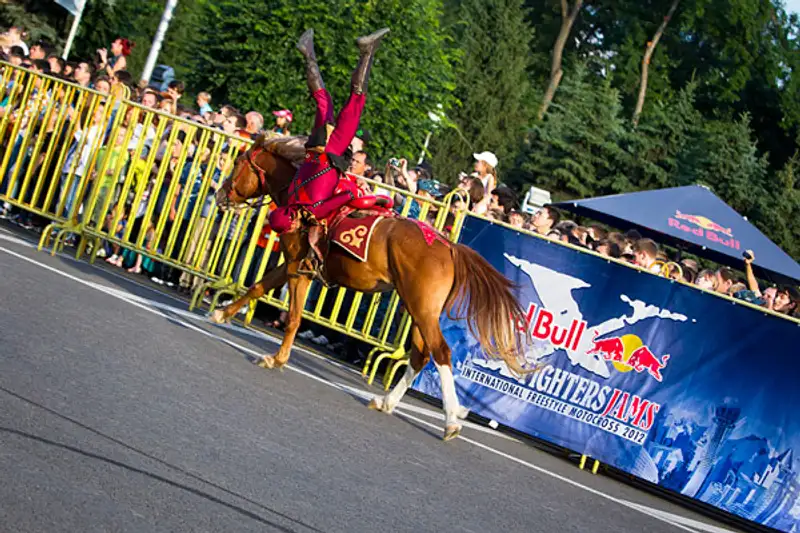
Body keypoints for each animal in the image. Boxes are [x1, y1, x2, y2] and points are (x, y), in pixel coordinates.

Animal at [212, 135, 532, 438]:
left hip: (421, 308)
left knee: (441, 352)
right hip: (417, 309)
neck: (303, 202)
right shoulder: (292, 264)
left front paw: (276, 358)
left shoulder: (297, 270)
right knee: (420, 354)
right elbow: (257, 287)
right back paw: (387, 401)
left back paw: (451, 419)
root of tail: (450, 246)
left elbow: (293, 317)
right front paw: (221, 313)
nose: (219, 194)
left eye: (238, 162)